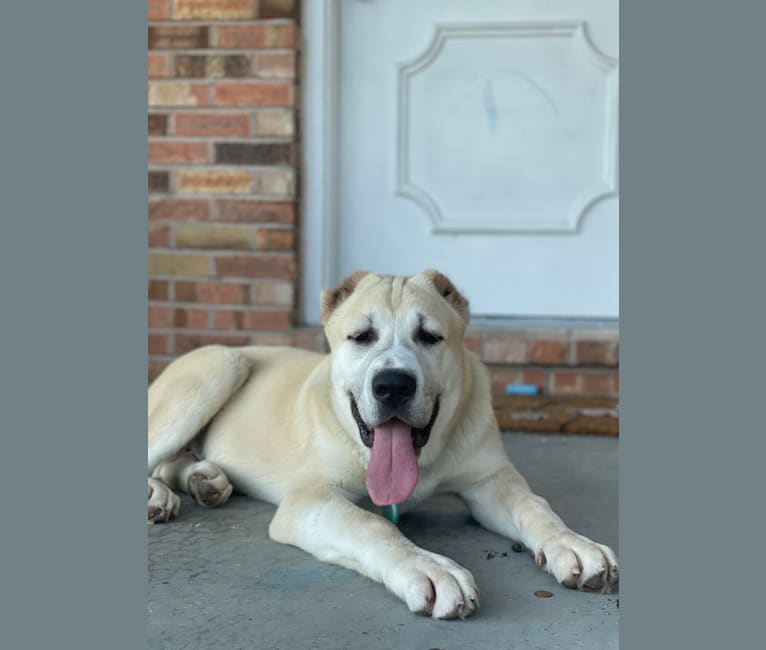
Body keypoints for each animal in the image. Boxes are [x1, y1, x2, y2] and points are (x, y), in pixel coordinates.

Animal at [148, 268, 616, 616]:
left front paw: (574, 544)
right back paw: (160, 496)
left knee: (172, 462)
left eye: (429, 336)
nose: (393, 385)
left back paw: (205, 480)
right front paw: (430, 568)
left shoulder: (491, 481)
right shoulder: (311, 499)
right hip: (222, 365)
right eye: (361, 336)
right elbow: (373, 525)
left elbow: (535, 508)